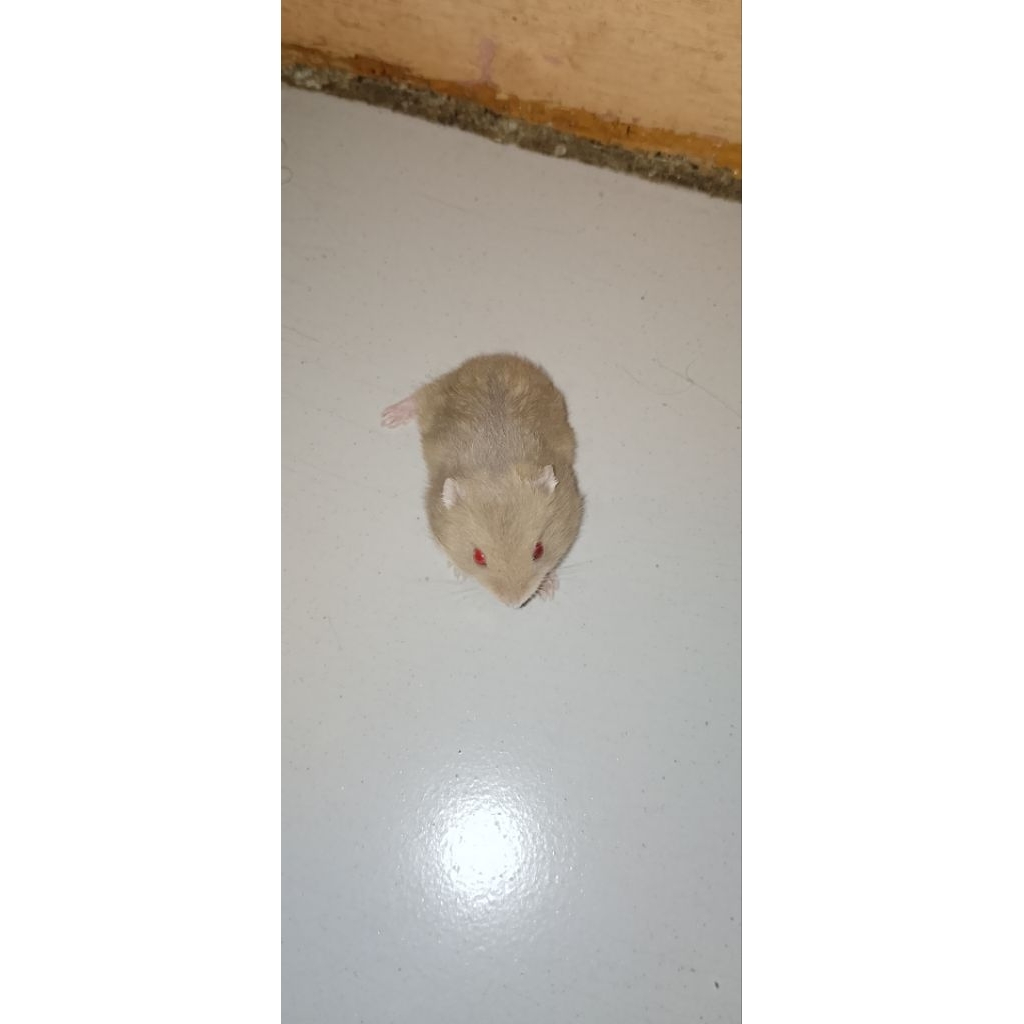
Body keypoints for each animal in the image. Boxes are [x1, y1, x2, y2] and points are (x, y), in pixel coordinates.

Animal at [382, 354, 584, 607]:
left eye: (539, 550)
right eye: (478, 557)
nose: (514, 604)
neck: (499, 465)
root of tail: (491, 359)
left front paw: (549, 590)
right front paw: (459, 571)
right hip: (436, 396)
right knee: (421, 394)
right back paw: (388, 417)